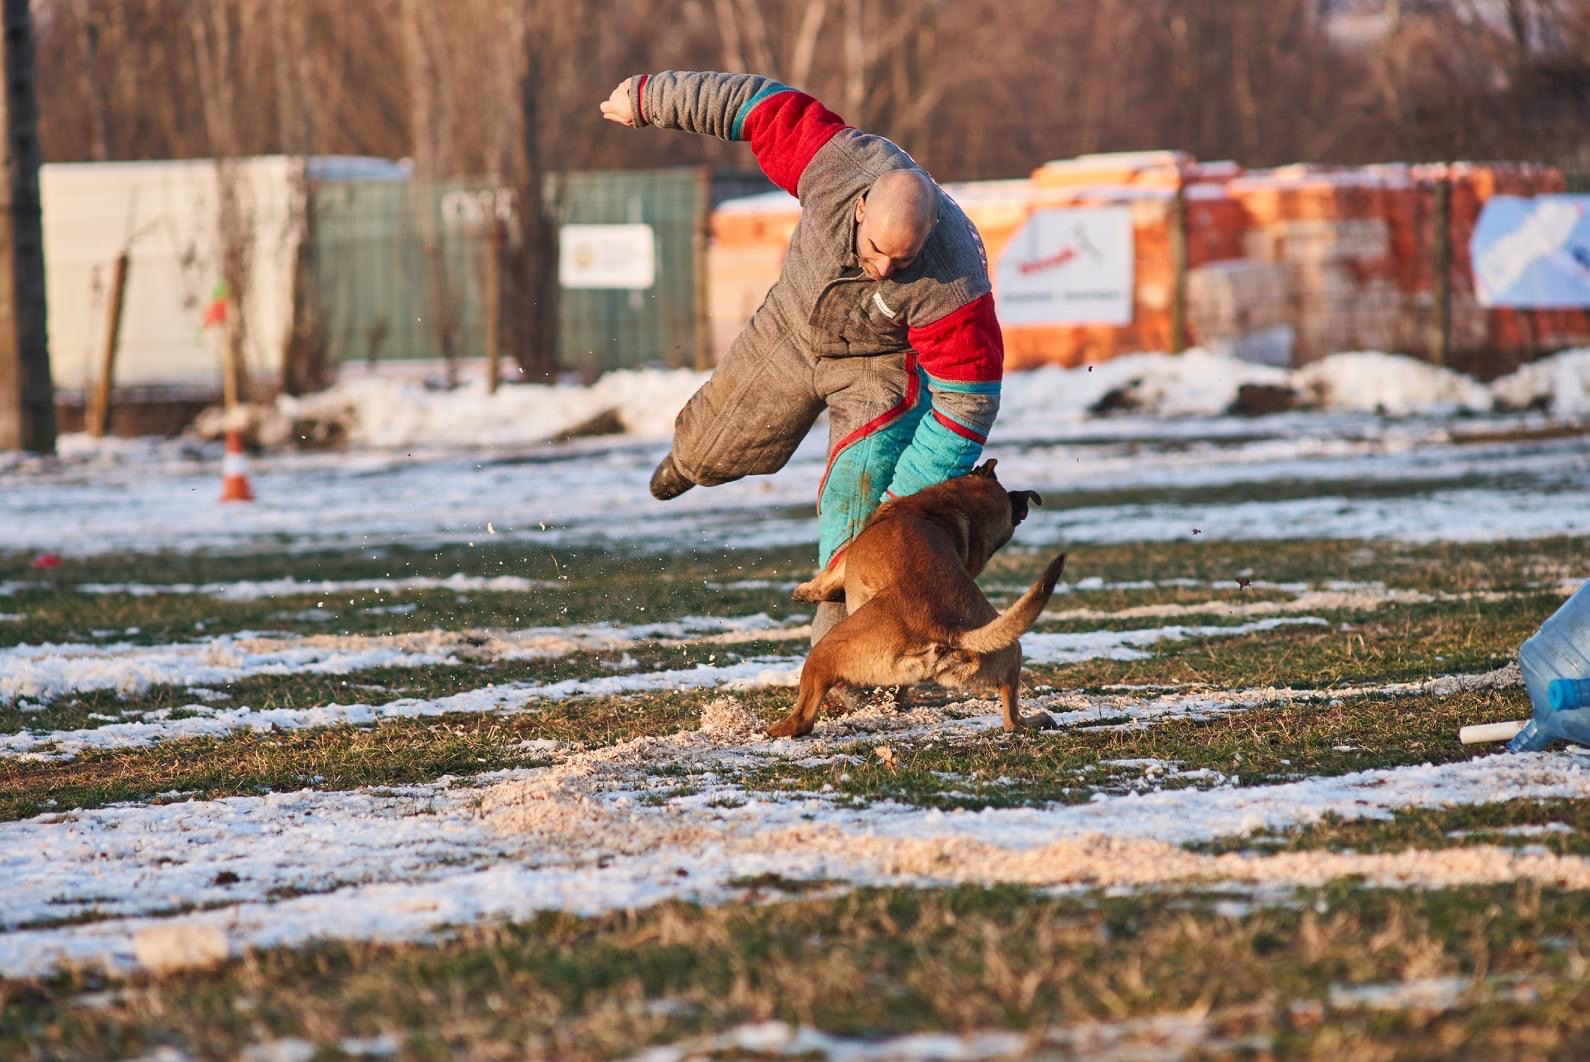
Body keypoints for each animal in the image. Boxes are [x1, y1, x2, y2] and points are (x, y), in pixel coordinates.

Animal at [768, 459, 1066, 738]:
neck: (954, 508)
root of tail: (946, 629)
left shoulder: (843, 564)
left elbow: (826, 580)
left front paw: (804, 591)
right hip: (1012, 650)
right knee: (1012, 719)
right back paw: (1040, 720)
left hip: (826, 650)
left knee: (803, 720)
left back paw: (776, 730)